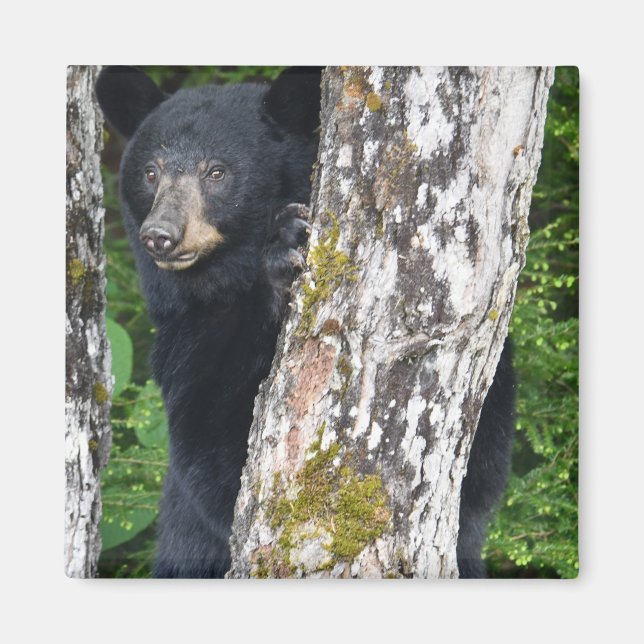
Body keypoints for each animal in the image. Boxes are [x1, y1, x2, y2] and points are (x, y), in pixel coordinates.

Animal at [96, 66, 514, 579]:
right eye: (150, 172)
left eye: (217, 171)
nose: (161, 234)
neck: (224, 284)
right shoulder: (182, 343)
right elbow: (214, 462)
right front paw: (284, 247)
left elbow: (478, 464)